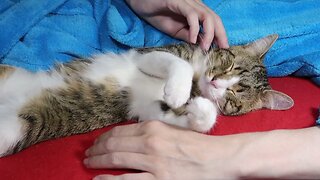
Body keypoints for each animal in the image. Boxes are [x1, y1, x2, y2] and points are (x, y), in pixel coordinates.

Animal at [0, 34, 292, 157]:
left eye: (235, 94)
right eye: (230, 65)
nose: (215, 81)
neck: (198, 83)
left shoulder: (144, 108)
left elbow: (175, 114)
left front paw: (198, 110)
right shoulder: (150, 54)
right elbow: (181, 64)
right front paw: (178, 91)